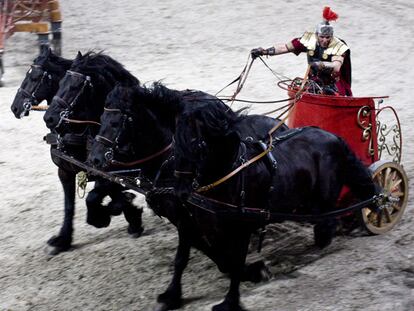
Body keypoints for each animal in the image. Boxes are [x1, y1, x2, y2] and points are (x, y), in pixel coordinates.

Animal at [31, 51, 144, 256]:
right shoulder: (67, 171)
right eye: (61, 83)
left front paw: (107, 216)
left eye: (75, 86)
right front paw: (62, 239)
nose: (49, 117)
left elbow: (95, 198)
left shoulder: (111, 174)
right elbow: (69, 205)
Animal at [87, 83, 288, 311]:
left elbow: (186, 255)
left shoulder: (187, 216)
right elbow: (197, 251)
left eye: (115, 122)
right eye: (101, 118)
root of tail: (277, 125)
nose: (94, 158)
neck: (169, 160)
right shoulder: (182, 218)